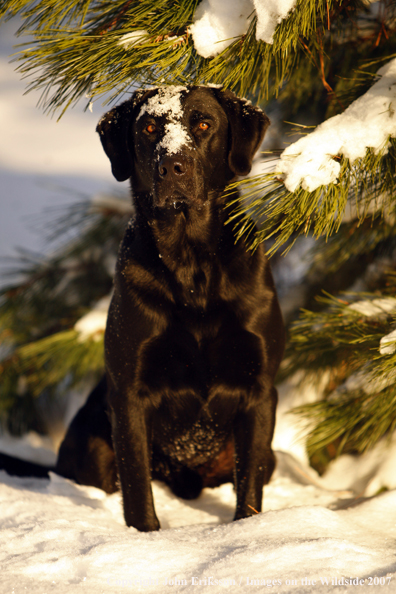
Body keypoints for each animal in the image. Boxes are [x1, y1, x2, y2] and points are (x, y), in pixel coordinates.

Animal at [1, 85, 284, 528]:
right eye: (150, 127)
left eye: (204, 124)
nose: (173, 166)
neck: (191, 264)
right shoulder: (129, 393)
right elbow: (136, 482)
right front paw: (146, 535)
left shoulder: (260, 389)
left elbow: (249, 484)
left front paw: (245, 529)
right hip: (95, 442)